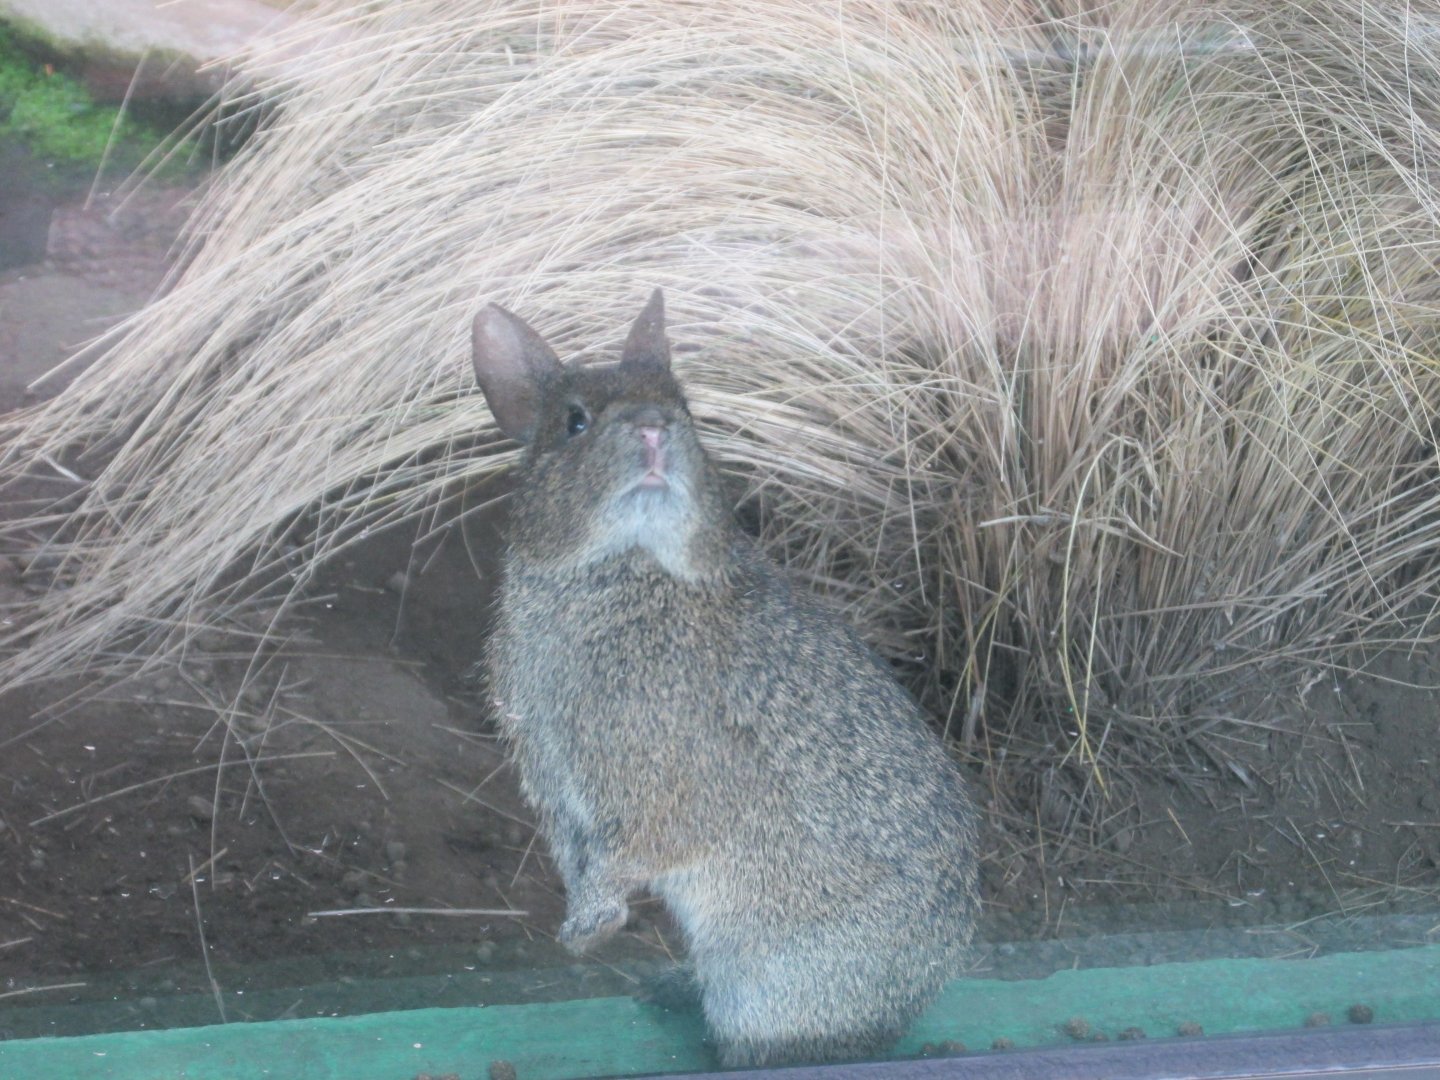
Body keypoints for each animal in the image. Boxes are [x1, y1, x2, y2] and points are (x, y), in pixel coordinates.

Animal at [470, 289, 979, 1068]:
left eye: (683, 406)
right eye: (574, 421)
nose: (654, 430)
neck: (626, 576)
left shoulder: (660, 796)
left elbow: (631, 854)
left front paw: (586, 932)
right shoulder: (556, 790)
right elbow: (580, 860)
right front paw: (584, 933)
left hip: (766, 990)